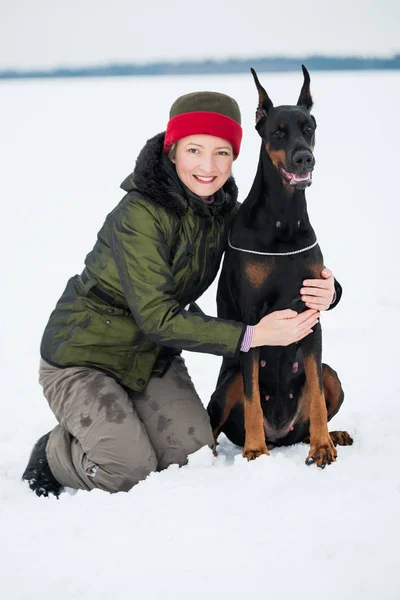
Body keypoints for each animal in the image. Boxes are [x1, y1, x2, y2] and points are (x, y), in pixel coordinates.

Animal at [208, 67, 352, 468]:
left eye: (310, 128)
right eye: (278, 132)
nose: (304, 159)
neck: (283, 221)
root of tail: (281, 433)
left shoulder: (312, 313)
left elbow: (316, 393)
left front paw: (322, 446)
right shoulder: (253, 320)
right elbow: (253, 399)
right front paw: (255, 450)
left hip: (333, 377)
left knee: (315, 402)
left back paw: (330, 434)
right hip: (228, 383)